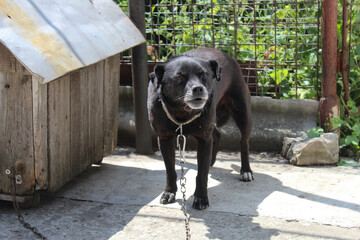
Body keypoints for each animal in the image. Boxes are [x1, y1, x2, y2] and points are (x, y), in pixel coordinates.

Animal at [147, 47, 253, 209]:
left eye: (204, 75)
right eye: (180, 76)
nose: (198, 88)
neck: (182, 113)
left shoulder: (203, 139)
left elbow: (201, 174)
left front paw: (201, 198)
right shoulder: (164, 139)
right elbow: (170, 170)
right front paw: (169, 192)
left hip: (243, 114)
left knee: (244, 143)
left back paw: (246, 170)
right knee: (216, 135)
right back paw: (212, 161)